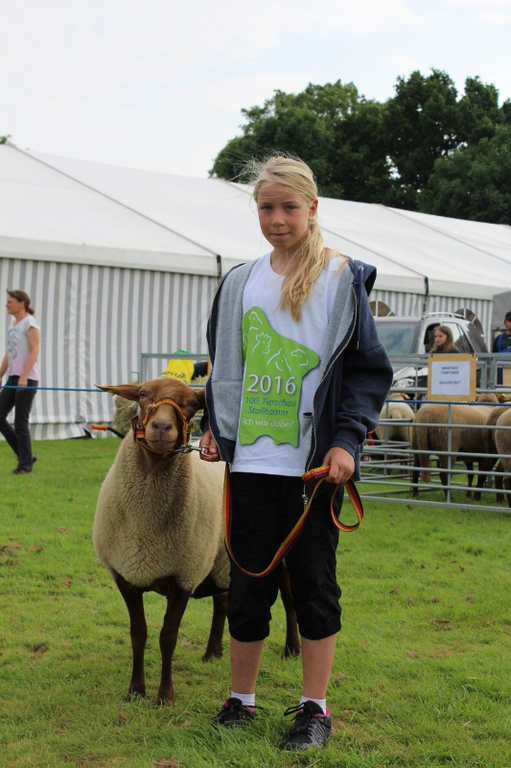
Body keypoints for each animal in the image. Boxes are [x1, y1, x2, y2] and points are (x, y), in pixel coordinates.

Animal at [93, 377, 299, 705]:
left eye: (192, 403)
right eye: (142, 393)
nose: (162, 427)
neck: (144, 524)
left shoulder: (184, 577)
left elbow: (168, 637)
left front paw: (165, 696)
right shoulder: (125, 575)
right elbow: (138, 634)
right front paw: (136, 691)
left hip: (281, 552)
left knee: (290, 600)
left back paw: (292, 649)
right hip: (220, 557)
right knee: (223, 600)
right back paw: (213, 652)